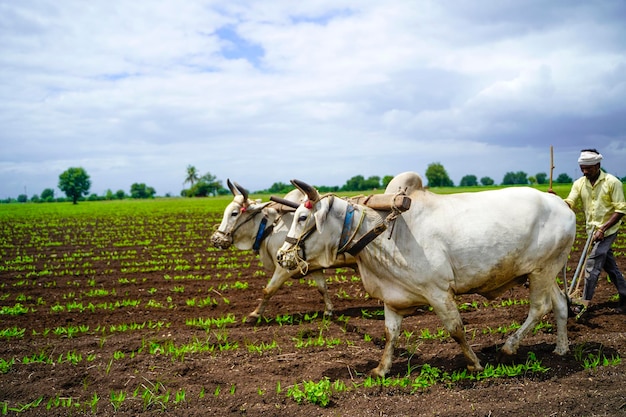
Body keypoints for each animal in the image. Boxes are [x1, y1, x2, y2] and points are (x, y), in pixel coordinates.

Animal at [278, 174, 576, 376]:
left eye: (302, 218)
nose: (281, 256)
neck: (384, 234)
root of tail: (560, 202)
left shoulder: (439, 292)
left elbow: (456, 330)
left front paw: (475, 363)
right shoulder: (393, 297)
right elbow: (390, 334)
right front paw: (381, 369)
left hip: (541, 270)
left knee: (540, 307)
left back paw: (509, 347)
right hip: (547, 270)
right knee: (561, 304)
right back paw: (561, 349)